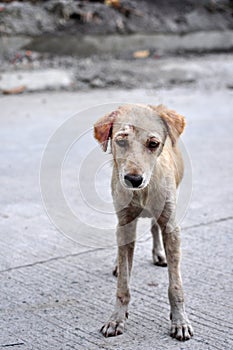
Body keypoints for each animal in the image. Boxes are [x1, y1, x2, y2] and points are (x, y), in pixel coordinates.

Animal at [93, 102, 194, 340]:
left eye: (153, 144)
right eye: (121, 140)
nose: (133, 179)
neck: (143, 191)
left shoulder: (171, 225)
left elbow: (175, 286)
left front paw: (180, 321)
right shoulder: (125, 222)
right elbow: (123, 283)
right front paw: (116, 318)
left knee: (154, 227)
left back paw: (158, 254)